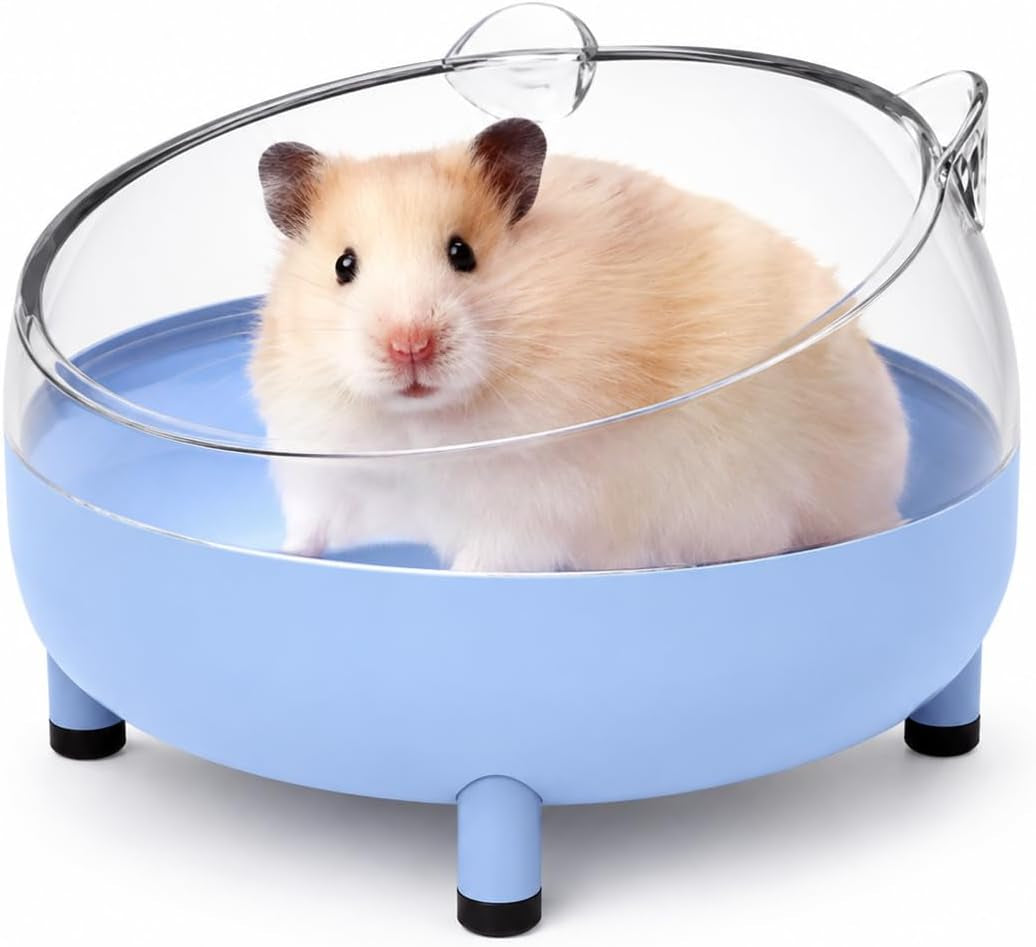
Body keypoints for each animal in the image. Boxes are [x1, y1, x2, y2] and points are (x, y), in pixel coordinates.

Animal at [250, 118, 909, 572]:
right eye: (344, 265)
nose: (409, 346)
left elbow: (485, 560)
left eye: (462, 253)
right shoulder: (320, 471)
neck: (417, 428)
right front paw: (281, 558)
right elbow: (308, 528)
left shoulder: (532, 507)